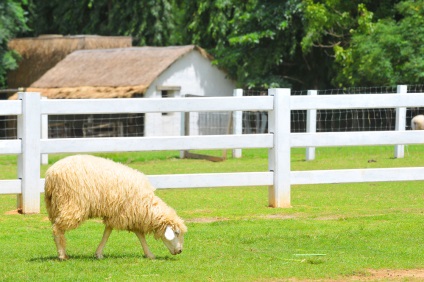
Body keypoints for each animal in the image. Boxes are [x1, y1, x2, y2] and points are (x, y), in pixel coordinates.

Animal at [44, 154, 187, 260]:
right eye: (176, 233)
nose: (180, 250)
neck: (146, 205)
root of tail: (50, 174)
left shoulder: (122, 213)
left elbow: (114, 232)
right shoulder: (126, 211)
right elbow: (131, 233)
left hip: (54, 206)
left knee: (56, 227)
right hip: (72, 205)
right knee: (57, 228)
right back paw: (62, 255)